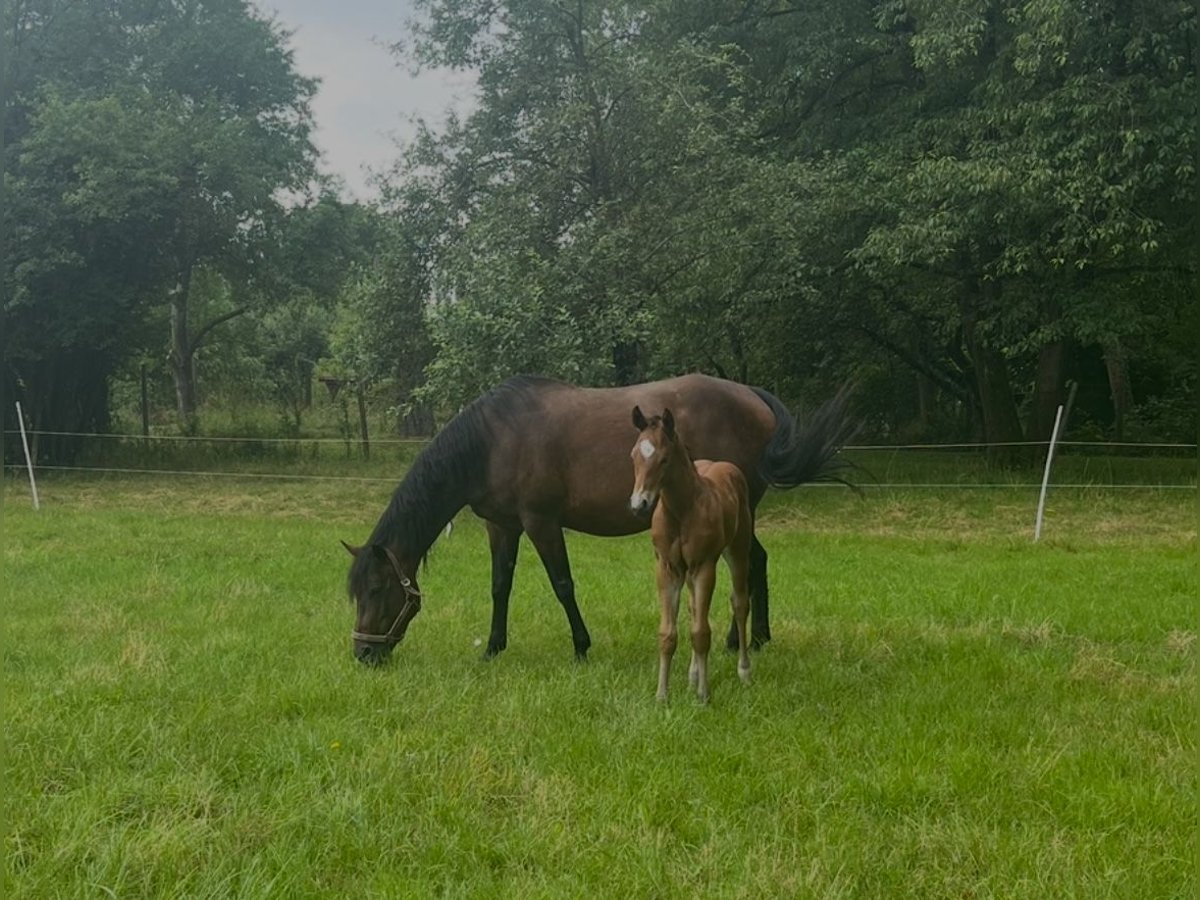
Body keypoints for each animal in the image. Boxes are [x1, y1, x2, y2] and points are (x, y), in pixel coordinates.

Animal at [345, 369, 854, 667]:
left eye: (377, 589)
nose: (364, 653)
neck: (493, 441)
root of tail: (752, 395)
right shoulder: (502, 526)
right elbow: (499, 586)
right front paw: (492, 648)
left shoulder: (541, 522)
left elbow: (562, 585)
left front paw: (580, 647)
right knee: (757, 562)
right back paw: (755, 637)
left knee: (747, 564)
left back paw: (741, 640)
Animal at [628, 408, 748, 705]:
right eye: (634, 455)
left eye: (664, 458)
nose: (638, 505)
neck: (682, 511)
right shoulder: (667, 568)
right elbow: (668, 633)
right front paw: (662, 695)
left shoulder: (703, 566)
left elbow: (701, 632)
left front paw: (704, 695)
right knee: (695, 608)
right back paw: (692, 675)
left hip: (738, 550)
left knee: (740, 603)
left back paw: (744, 671)